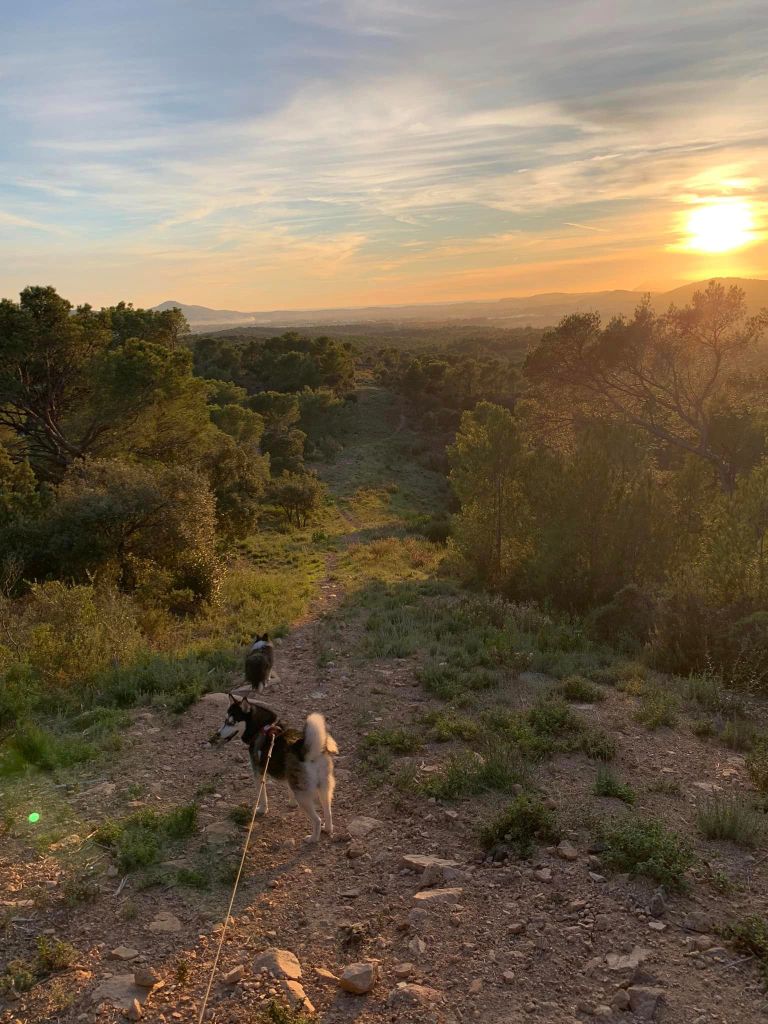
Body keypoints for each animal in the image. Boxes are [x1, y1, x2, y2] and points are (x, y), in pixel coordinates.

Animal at [215, 700, 337, 843]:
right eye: (225, 720)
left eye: (231, 722)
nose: (217, 734)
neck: (262, 728)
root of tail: (309, 753)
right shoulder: (287, 775)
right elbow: (289, 791)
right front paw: (292, 804)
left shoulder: (258, 774)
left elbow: (262, 797)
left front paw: (262, 809)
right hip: (324, 788)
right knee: (328, 812)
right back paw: (327, 828)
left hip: (303, 796)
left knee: (317, 820)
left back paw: (312, 838)